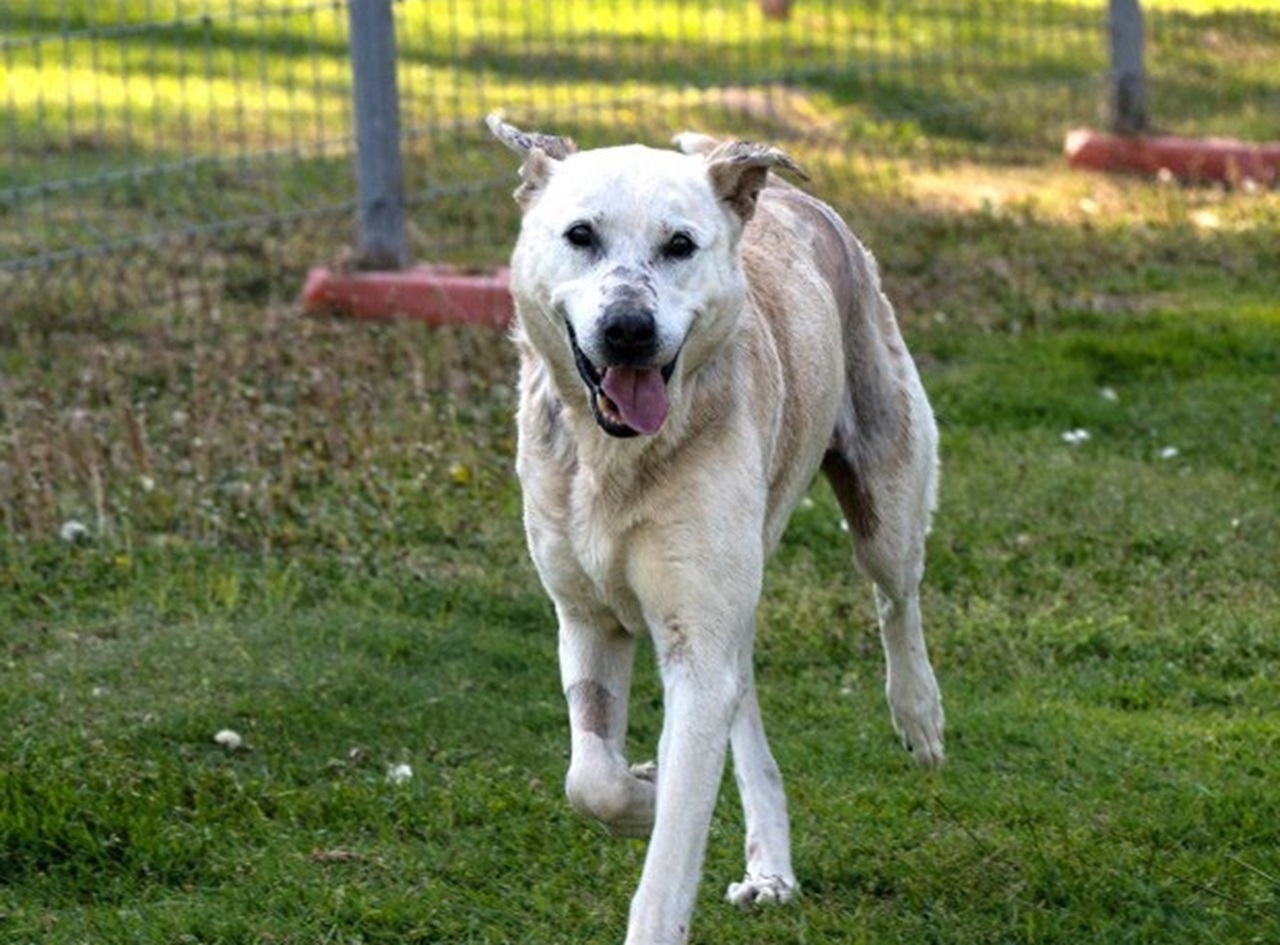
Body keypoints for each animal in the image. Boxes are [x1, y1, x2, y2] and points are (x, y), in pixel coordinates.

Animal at [483, 115, 947, 942]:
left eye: (680, 244)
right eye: (580, 234)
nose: (628, 329)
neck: (617, 458)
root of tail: (790, 197)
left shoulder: (697, 637)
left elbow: (671, 848)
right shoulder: (589, 617)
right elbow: (590, 777)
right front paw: (642, 786)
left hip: (886, 488)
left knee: (897, 595)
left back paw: (918, 715)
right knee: (747, 695)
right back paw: (769, 868)